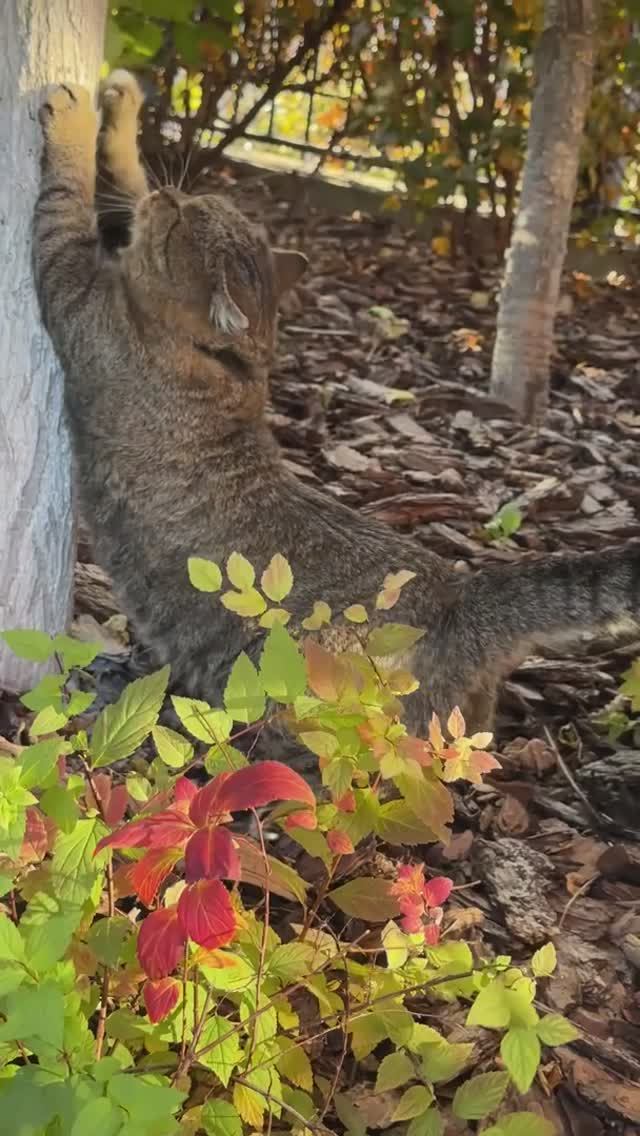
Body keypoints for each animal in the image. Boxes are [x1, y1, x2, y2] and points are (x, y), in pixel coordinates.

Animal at [32, 75, 640, 758]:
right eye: (192, 201)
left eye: (180, 220)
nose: (169, 195)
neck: (237, 371)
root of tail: (461, 594)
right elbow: (123, 175)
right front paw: (123, 105)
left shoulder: (76, 290)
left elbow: (69, 198)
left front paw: (77, 123)